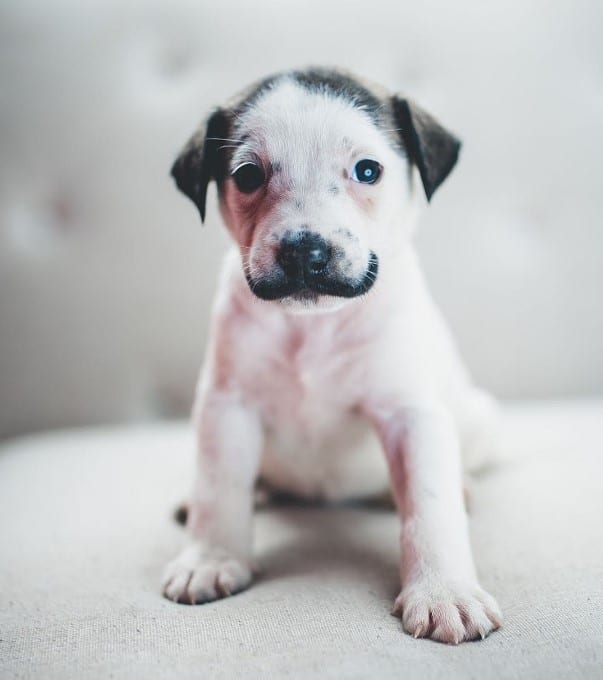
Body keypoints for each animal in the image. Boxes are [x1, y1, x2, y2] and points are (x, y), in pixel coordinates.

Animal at [163, 67, 502, 644]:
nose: (305, 251)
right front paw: (210, 557)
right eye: (247, 175)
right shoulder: (228, 406)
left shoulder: (410, 414)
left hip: (477, 418)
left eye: (368, 171)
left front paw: (444, 592)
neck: (313, 326)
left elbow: (430, 507)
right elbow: (219, 488)